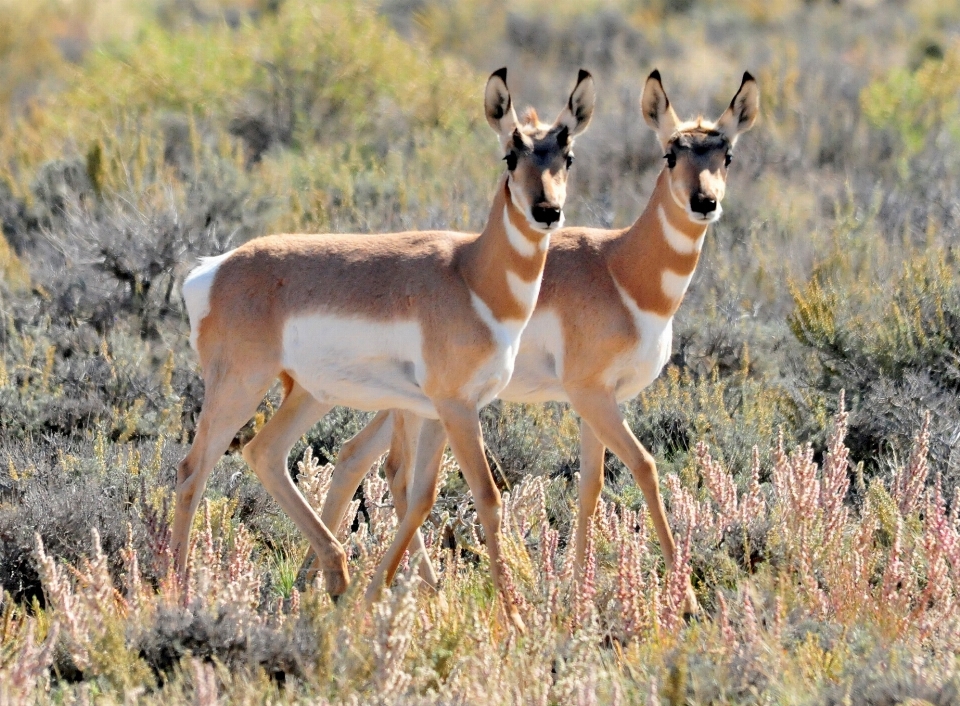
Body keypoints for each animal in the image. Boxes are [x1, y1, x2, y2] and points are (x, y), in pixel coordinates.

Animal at [172, 67, 592, 628]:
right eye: (510, 154)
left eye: (567, 156)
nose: (547, 211)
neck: (471, 274)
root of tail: (214, 269)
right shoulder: (457, 409)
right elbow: (486, 497)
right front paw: (516, 617)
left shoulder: (437, 412)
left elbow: (421, 496)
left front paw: (398, 594)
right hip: (239, 387)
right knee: (192, 472)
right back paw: (175, 593)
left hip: (308, 395)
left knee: (265, 453)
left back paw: (335, 576)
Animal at [308, 69, 756, 612]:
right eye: (671, 154)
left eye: (726, 155)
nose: (704, 203)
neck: (619, 269)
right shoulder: (591, 395)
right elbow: (646, 467)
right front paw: (685, 598)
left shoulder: (597, 403)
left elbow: (590, 486)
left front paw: (577, 590)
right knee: (390, 467)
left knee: (356, 456)